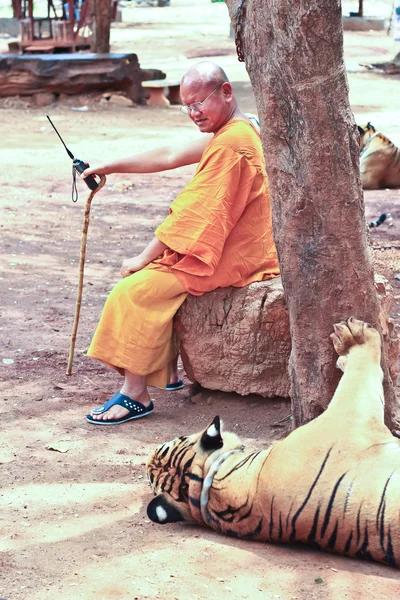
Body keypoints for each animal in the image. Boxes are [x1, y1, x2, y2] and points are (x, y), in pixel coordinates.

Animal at [147, 316, 400, 568]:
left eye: (169, 443)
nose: (148, 458)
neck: (210, 487)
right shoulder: (348, 413)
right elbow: (360, 372)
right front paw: (354, 336)